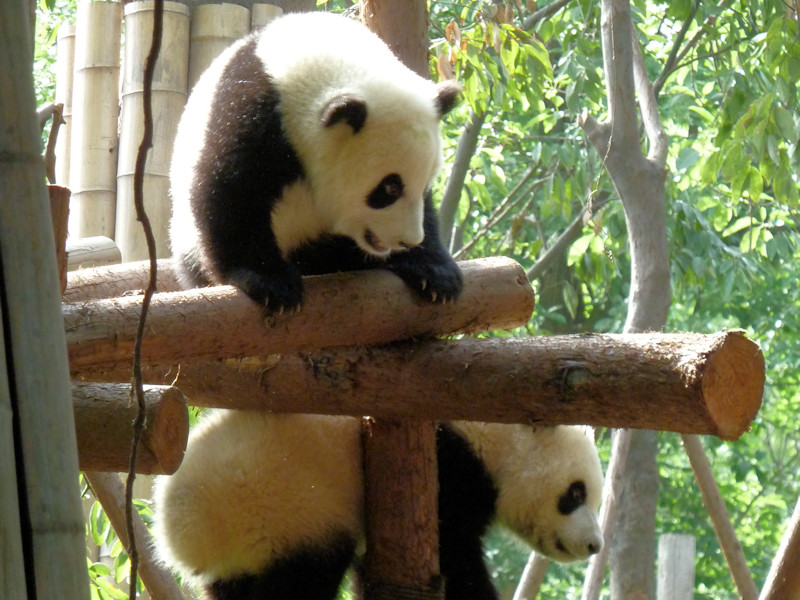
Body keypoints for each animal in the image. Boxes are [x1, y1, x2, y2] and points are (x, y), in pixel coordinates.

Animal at [152, 411, 604, 600]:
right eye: (575, 494)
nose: (594, 545)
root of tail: (181, 532)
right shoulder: (451, 469)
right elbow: (456, 559)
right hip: (283, 509)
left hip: (241, 557)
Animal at [169, 12, 463, 312]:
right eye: (390, 188)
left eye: (425, 183)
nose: (408, 240)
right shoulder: (252, 114)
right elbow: (232, 191)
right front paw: (271, 282)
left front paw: (434, 272)